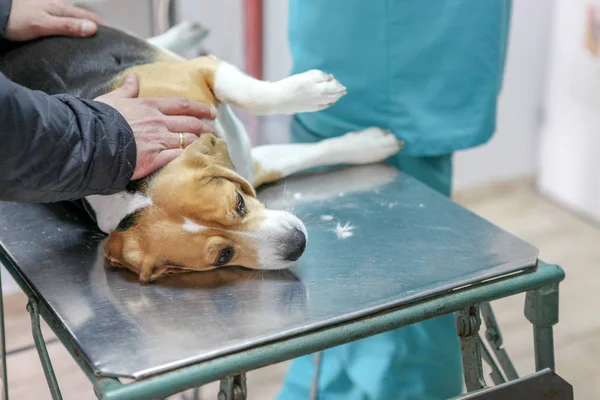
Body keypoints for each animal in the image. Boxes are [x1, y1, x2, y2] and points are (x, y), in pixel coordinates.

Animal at [1, 21, 404, 282]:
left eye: (238, 204)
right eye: (223, 256)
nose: (298, 243)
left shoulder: (200, 69)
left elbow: (253, 96)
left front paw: (316, 94)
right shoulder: (251, 164)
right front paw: (371, 143)